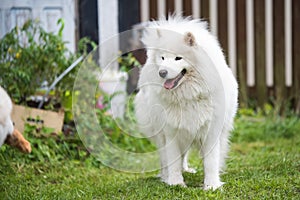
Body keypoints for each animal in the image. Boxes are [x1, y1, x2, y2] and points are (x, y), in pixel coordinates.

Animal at [135, 16, 238, 190]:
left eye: (178, 58)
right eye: (162, 58)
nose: (162, 72)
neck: (188, 96)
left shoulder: (211, 131)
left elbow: (211, 161)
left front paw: (212, 185)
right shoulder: (171, 131)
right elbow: (173, 160)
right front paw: (175, 183)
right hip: (160, 132)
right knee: (165, 157)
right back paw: (165, 175)